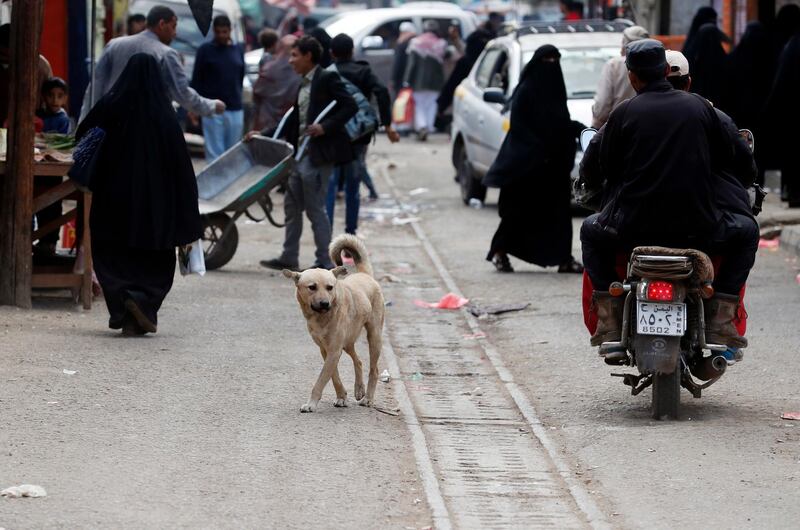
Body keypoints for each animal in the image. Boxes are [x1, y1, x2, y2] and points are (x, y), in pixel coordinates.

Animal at [282, 233, 386, 410]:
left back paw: (368, 398)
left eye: (330, 287)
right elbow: (334, 376)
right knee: (358, 361)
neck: (321, 317)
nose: (325, 303)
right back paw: (359, 389)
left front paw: (311, 404)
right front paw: (342, 396)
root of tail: (365, 275)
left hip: (374, 337)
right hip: (348, 342)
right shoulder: (326, 350)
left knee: (374, 369)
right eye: (312, 287)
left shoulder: (334, 350)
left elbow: (321, 380)